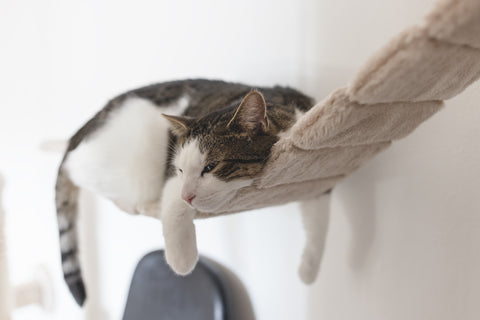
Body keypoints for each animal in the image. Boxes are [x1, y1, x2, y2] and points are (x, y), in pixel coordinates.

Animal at [53, 79, 330, 306]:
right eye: (180, 169)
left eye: (210, 167)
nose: (188, 195)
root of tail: (82, 130)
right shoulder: (172, 181)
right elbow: (174, 210)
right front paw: (182, 260)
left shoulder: (315, 165)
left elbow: (318, 217)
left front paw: (309, 270)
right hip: (135, 163)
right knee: (78, 170)